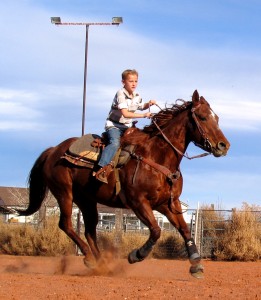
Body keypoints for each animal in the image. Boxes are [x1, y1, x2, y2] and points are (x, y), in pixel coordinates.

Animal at [17, 90, 229, 278]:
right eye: (202, 117)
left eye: (217, 118)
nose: (224, 145)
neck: (157, 156)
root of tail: (53, 150)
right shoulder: (138, 202)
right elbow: (156, 230)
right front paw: (136, 255)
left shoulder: (168, 203)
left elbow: (184, 230)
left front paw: (196, 264)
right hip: (64, 193)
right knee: (66, 224)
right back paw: (90, 258)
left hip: (87, 200)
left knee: (90, 230)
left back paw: (102, 264)